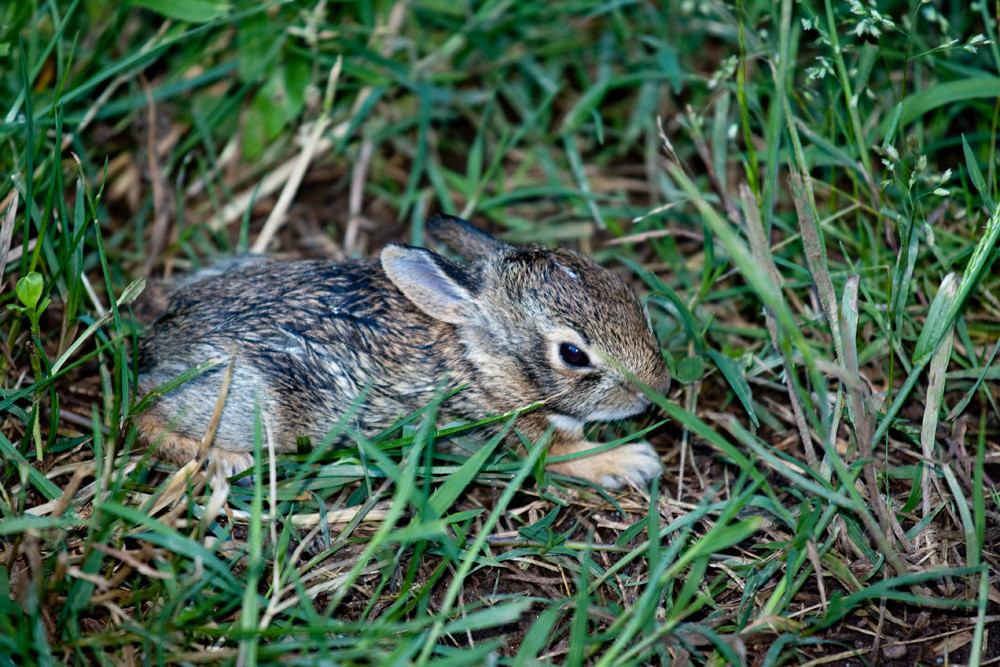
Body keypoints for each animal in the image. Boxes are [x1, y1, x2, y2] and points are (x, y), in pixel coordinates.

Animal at [137, 217, 672, 488]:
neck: (484, 363)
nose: (656, 391)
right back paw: (225, 462)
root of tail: (156, 344)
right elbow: (569, 457)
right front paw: (634, 462)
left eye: (622, 289)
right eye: (573, 354)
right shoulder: (514, 432)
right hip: (257, 400)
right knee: (144, 415)